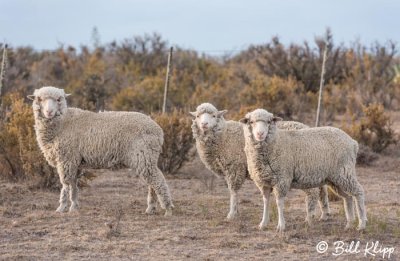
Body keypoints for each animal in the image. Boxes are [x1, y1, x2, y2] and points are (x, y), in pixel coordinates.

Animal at [26, 86, 173, 214]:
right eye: (39, 99)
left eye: (58, 99)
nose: (49, 112)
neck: (63, 122)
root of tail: (158, 130)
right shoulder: (74, 162)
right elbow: (73, 185)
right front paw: (74, 206)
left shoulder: (66, 159)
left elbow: (66, 185)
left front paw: (62, 207)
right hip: (147, 157)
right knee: (152, 182)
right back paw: (151, 208)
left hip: (143, 155)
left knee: (157, 181)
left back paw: (167, 208)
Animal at [191, 101, 332, 223]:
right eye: (197, 116)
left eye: (213, 115)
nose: (204, 124)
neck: (223, 136)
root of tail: (306, 126)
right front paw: (236, 212)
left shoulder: (235, 168)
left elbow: (233, 191)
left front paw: (232, 214)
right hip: (317, 168)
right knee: (322, 190)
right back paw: (325, 214)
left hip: (306, 168)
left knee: (313, 192)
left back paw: (309, 217)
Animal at [239, 108, 368, 232]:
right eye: (251, 122)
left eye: (269, 121)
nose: (260, 134)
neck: (276, 141)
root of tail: (353, 142)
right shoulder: (264, 182)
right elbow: (266, 202)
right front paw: (263, 224)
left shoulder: (282, 179)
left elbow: (279, 203)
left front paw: (281, 226)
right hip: (336, 179)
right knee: (348, 197)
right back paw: (349, 224)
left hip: (345, 172)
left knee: (359, 192)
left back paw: (361, 224)